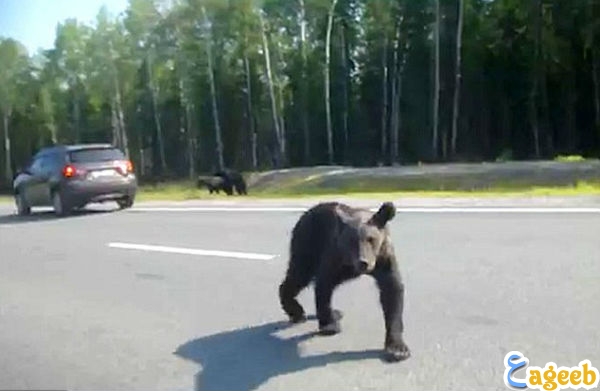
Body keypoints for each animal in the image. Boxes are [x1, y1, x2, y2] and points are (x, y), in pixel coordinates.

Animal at [278, 202, 410, 364]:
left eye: (371, 239)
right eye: (351, 240)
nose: (363, 262)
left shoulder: (384, 258)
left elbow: (392, 292)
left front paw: (397, 349)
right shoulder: (335, 254)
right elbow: (324, 284)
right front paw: (329, 325)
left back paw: (335, 312)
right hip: (307, 242)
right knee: (299, 274)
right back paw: (296, 311)